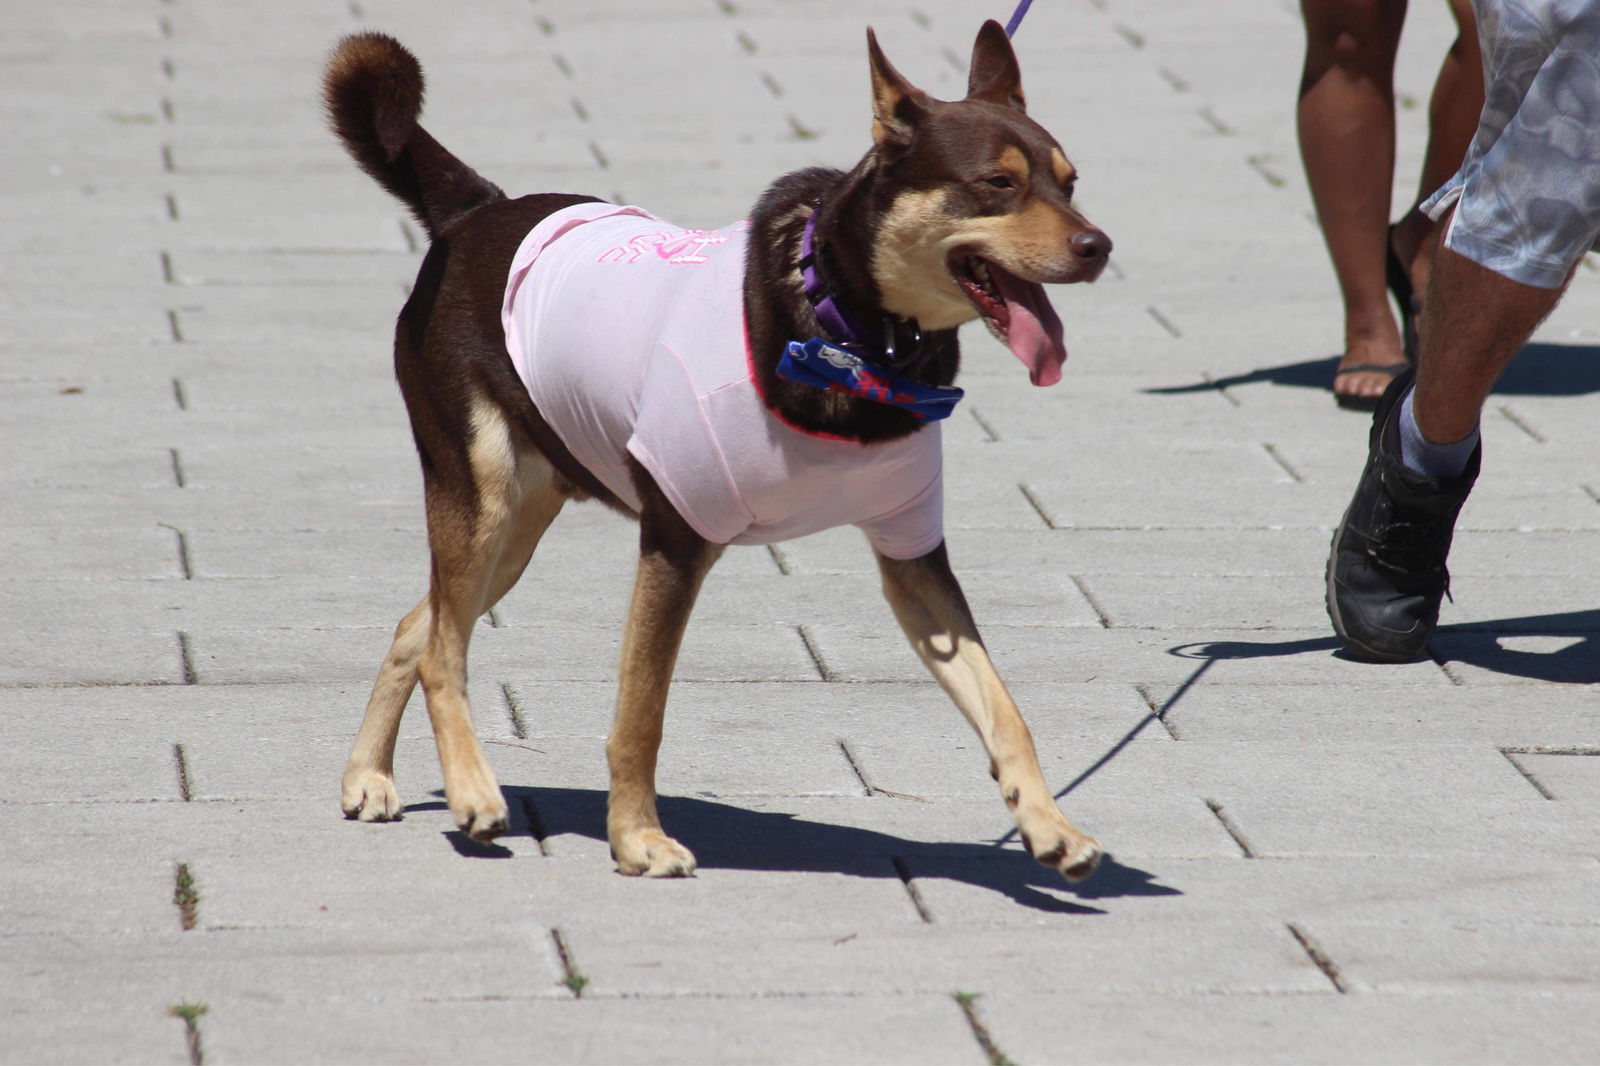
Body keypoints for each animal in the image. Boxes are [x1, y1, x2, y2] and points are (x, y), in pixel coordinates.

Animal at [324, 18, 1113, 877]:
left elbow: (1002, 705)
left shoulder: (912, 554)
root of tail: (478, 210)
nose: (1097, 245)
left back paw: (368, 776)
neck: (850, 337)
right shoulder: (675, 538)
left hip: (521, 518)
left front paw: (1048, 824)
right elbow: (642, 713)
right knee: (445, 649)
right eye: (998, 184)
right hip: (482, 490)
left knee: (421, 626)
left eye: (1070, 182)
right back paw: (472, 791)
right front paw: (636, 838)